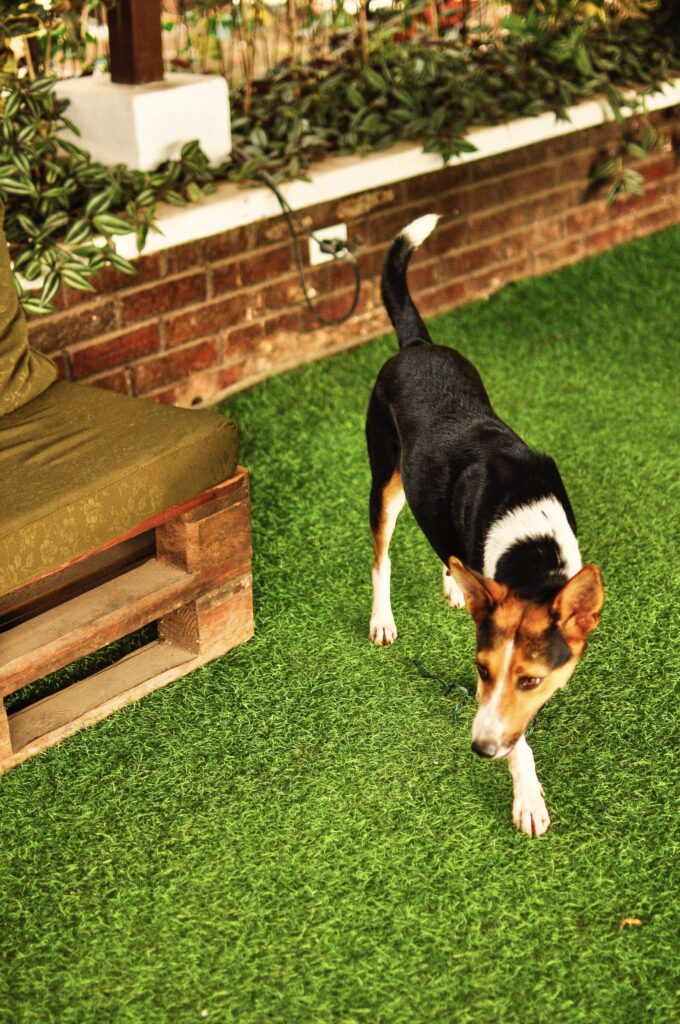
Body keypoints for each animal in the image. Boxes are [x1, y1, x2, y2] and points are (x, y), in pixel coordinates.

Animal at [366, 211, 606, 835]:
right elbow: (520, 745)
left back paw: (456, 584)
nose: (478, 749)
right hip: (384, 480)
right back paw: (383, 618)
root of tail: (417, 344)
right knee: (382, 556)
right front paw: (527, 798)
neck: (529, 546)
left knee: (441, 544)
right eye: (479, 669)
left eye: (530, 680)